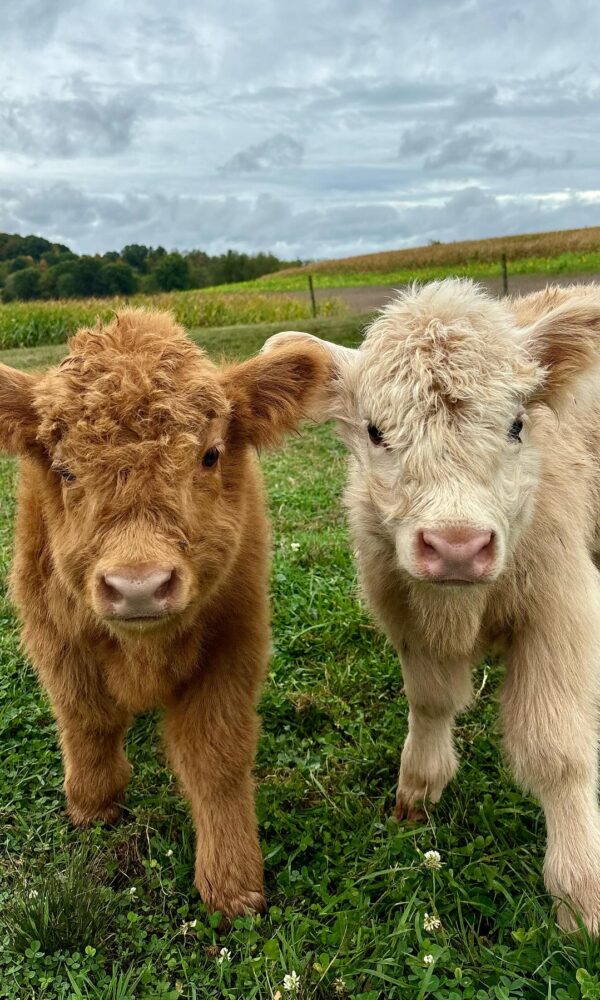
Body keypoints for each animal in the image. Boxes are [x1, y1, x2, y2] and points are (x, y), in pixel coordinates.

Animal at [0, 308, 328, 918]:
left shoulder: (233, 643)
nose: (139, 587)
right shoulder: (56, 638)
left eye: (209, 455)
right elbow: (88, 720)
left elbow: (215, 756)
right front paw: (93, 804)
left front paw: (232, 883)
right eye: (65, 470)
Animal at [264, 279, 600, 932]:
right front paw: (418, 789)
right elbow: (431, 700)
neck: (459, 608)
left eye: (517, 424)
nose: (457, 546)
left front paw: (581, 891)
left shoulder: (562, 611)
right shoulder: (404, 613)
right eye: (375, 431)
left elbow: (557, 751)